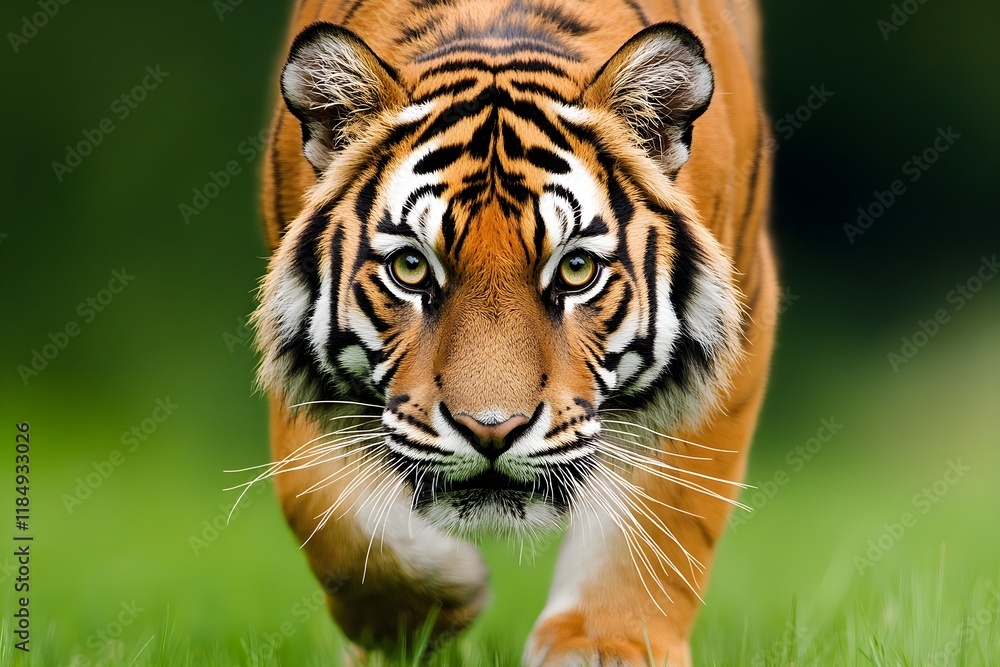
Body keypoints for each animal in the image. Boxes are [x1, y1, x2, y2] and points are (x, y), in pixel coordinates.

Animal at [252, 0, 776, 664]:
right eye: (410, 267)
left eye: (576, 270)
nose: (491, 430)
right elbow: (319, 502)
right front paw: (421, 613)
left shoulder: (737, 322)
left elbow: (662, 515)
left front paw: (604, 645)